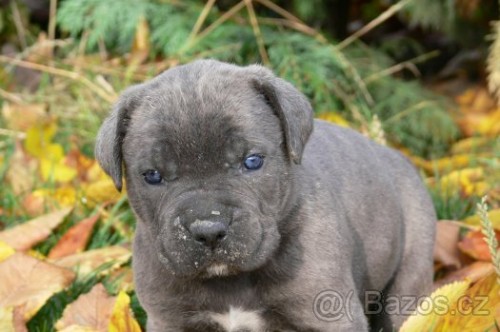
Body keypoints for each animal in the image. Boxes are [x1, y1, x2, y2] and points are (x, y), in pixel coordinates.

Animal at [95, 60, 436, 332]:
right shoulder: (171, 319)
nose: (208, 229)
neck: (230, 282)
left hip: (411, 272)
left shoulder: (328, 315)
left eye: (252, 161)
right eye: (152, 176)